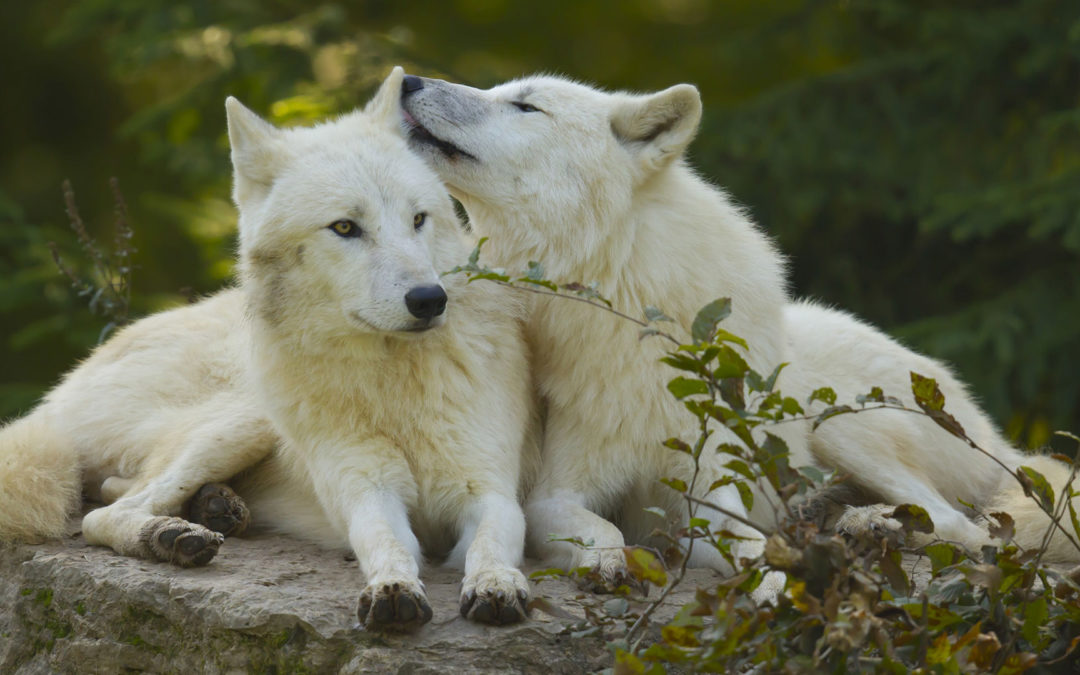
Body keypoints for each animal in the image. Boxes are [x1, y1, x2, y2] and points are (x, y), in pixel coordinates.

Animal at [0, 68, 537, 626]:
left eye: (419, 219)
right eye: (345, 227)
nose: (430, 299)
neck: (393, 383)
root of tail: (58, 393)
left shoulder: (491, 491)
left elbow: (493, 543)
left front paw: (497, 585)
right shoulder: (367, 491)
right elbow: (386, 543)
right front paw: (392, 589)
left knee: (112, 493)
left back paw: (213, 509)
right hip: (246, 419)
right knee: (104, 513)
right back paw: (173, 534)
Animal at [399, 72, 1080, 583]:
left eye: (524, 104)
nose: (408, 81)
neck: (630, 310)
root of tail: (998, 438)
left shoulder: (712, 491)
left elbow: (753, 545)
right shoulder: (556, 494)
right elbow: (602, 527)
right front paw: (610, 560)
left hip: (844, 425)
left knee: (965, 525)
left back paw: (870, 525)